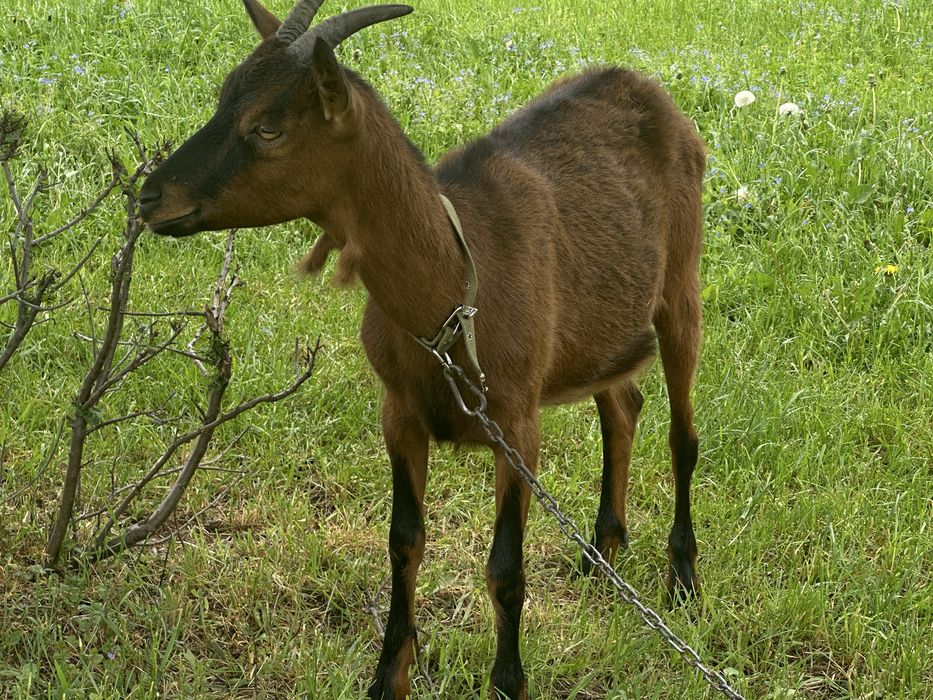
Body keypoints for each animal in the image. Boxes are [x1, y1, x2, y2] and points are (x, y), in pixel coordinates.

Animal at [139, 2, 707, 698]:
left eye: (267, 128)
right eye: (222, 98)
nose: (150, 195)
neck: (455, 287)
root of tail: (646, 88)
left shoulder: (516, 421)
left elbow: (505, 569)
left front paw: (508, 683)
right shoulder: (400, 411)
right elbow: (403, 542)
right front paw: (389, 677)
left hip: (680, 282)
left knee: (682, 433)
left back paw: (682, 580)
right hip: (601, 324)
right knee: (622, 405)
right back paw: (599, 557)